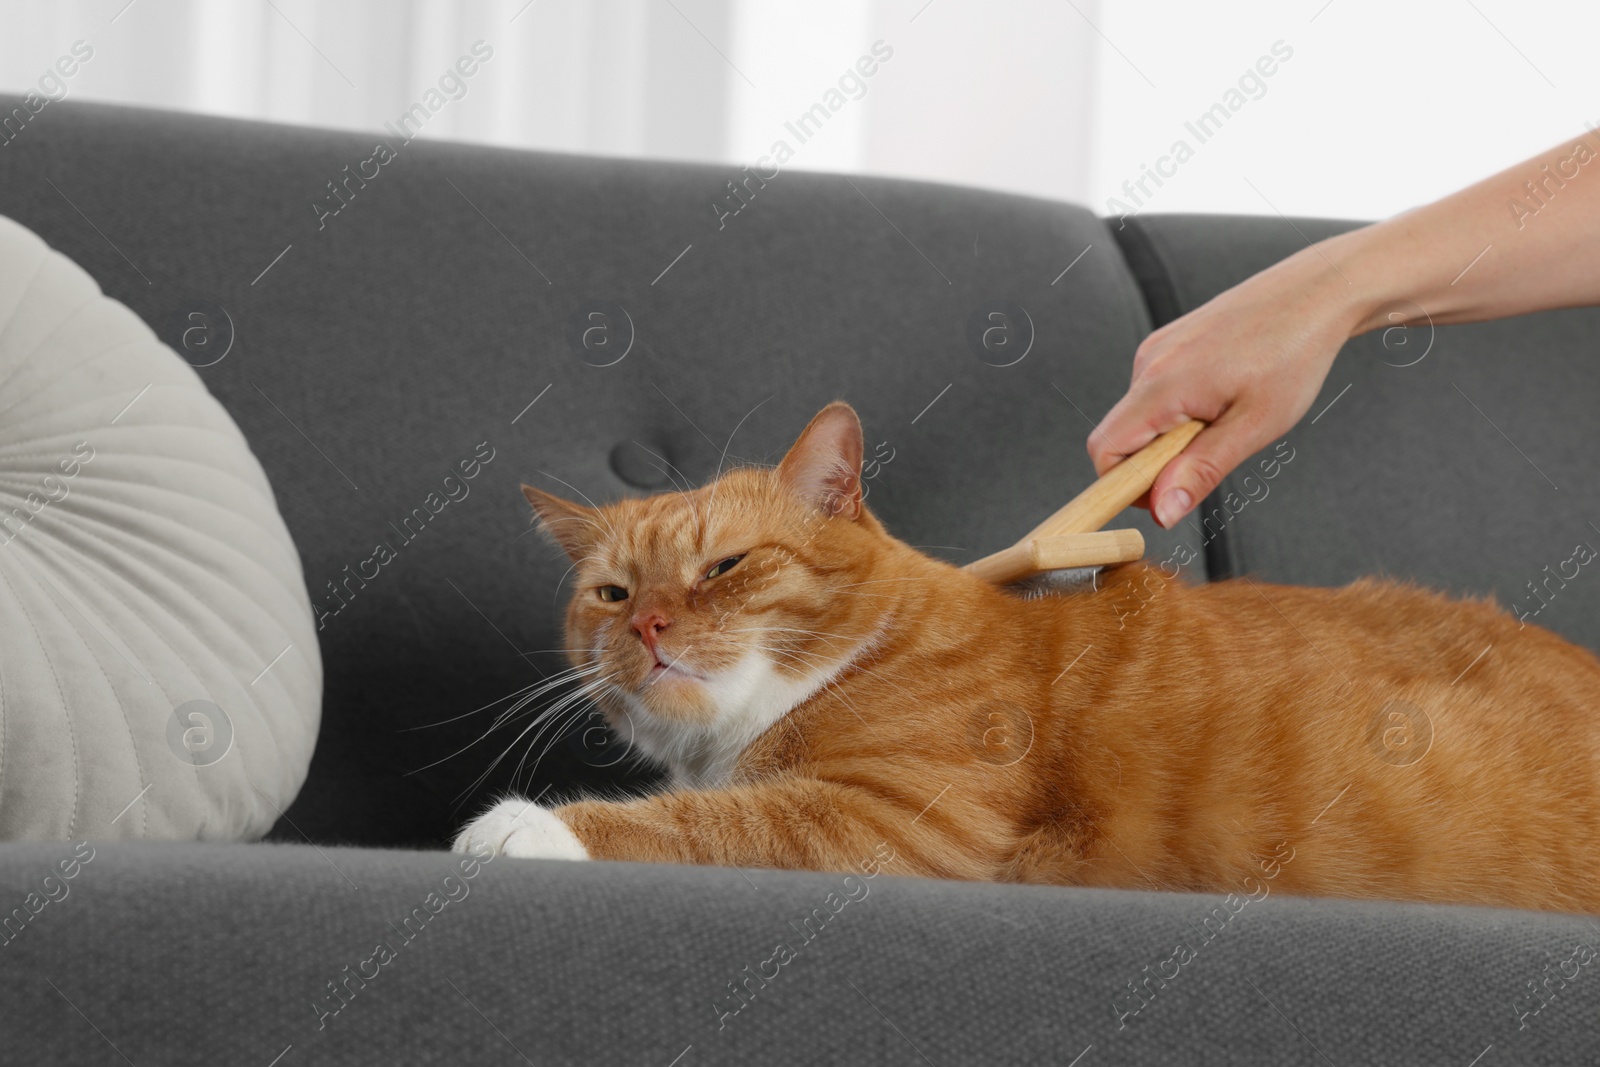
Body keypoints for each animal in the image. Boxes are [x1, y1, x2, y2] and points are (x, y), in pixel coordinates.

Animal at [451, 399, 1600, 921]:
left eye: (723, 565)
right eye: (612, 593)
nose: (647, 626)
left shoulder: (896, 823)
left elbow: (701, 821)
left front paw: (523, 825)